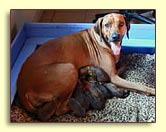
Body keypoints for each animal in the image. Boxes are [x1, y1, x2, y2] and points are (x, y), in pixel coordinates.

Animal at [16, 13, 156, 120]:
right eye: (107, 25)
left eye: (121, 23)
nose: (115, 37)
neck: (101, 40)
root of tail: (22, 89)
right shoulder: (113, 77)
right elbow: (139, 85)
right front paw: (151, 90)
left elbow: (122, 66)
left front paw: (124, 62)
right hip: (69, 69)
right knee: (59, 109)